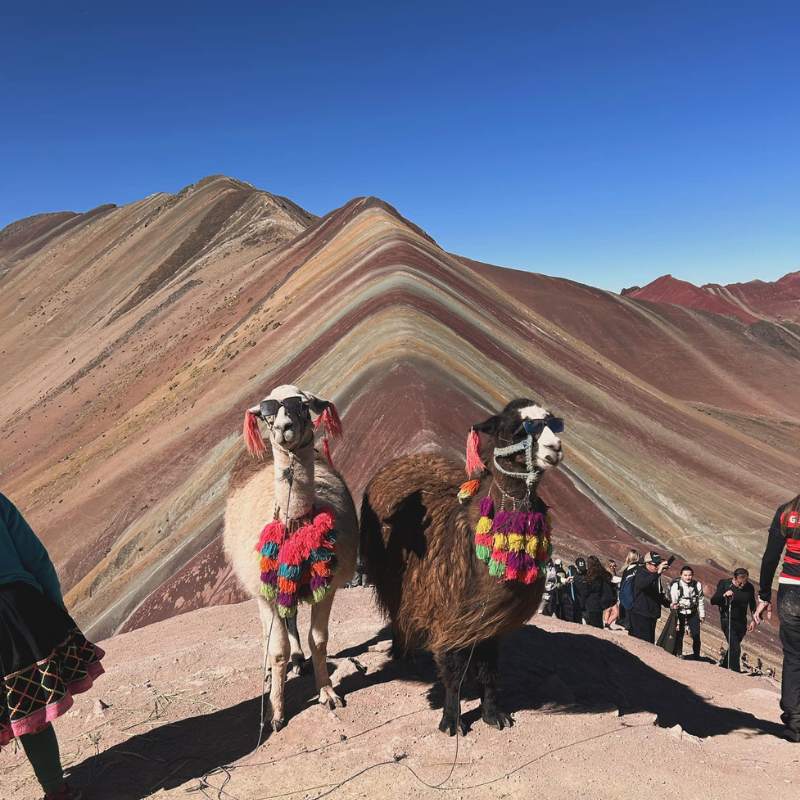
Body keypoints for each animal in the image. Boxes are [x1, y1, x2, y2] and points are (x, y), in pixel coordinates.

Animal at [224, 385, 357, 730]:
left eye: (303, 404)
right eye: (267, 411)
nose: (284, 428)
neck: (295, 525)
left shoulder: (327, 587)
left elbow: (318, 641)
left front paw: (327, 692)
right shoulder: (266, 592)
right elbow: (277, 650)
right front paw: (275, 712)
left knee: (292, 617)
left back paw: (299, 661)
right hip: (261, 587)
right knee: (270, 631)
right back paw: (273, 672)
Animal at [360, 398, 564, 735]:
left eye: (554, 423)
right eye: (515, 428)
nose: (555, 448)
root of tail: (409, 457)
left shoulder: (487, 617)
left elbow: (488, 671)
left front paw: (494, 715)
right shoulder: (448, 612)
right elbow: (454, 672)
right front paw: (451, 722)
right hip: (391, 576)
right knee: (397, 612)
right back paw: (401, 651)